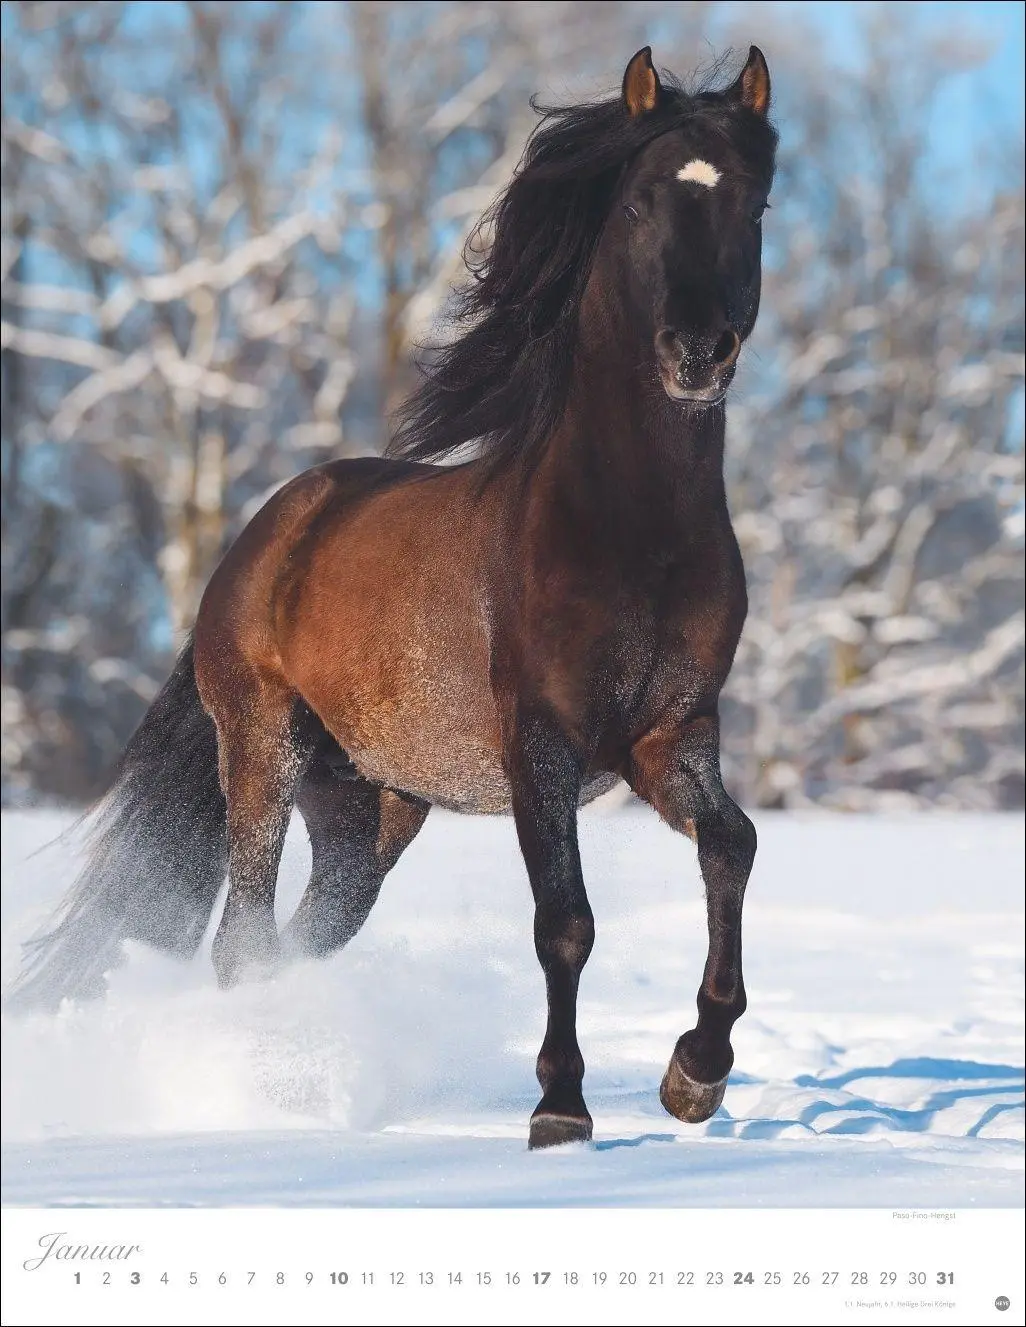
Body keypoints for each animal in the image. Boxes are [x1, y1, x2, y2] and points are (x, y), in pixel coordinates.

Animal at [12, 45, 777, 1150]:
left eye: (754, 204)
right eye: (638, 204)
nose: (697, 353)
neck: (629, 532)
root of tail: (259, 540)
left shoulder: (671, 735)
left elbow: (732, 847)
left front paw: (696, 1072)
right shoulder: (540, 742)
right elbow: (565, 920)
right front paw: (560, 1109)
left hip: (368, 807)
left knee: (299, 940)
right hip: (264, 751)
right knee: (243, 941)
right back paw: (260, 1097)